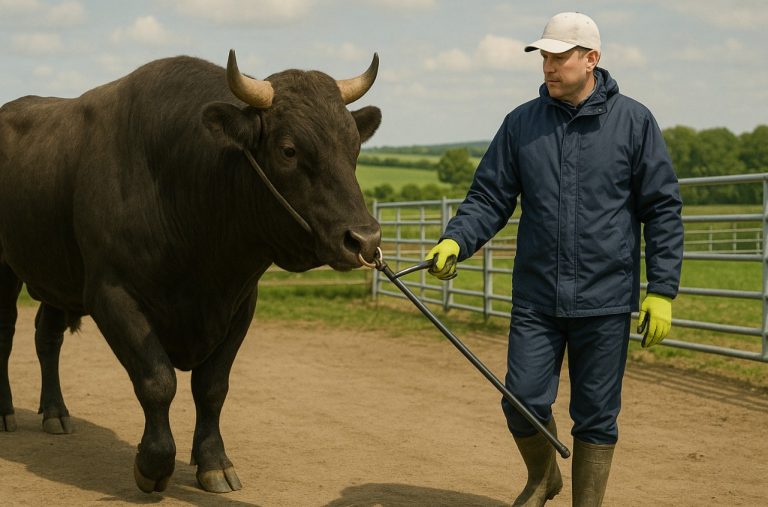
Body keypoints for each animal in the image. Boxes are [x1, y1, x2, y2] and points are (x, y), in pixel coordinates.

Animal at [0, 50, 382, 494]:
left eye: (354, 148)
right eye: (288, 150)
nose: (365, 239)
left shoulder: (240, 304)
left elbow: (212, 387)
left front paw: (213, 461)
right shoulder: (111, 294)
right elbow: (158, 380)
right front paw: (153, 464)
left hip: (57, 275)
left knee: (47, 337)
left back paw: (55, 412)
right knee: (6, 335)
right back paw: (5, 411)